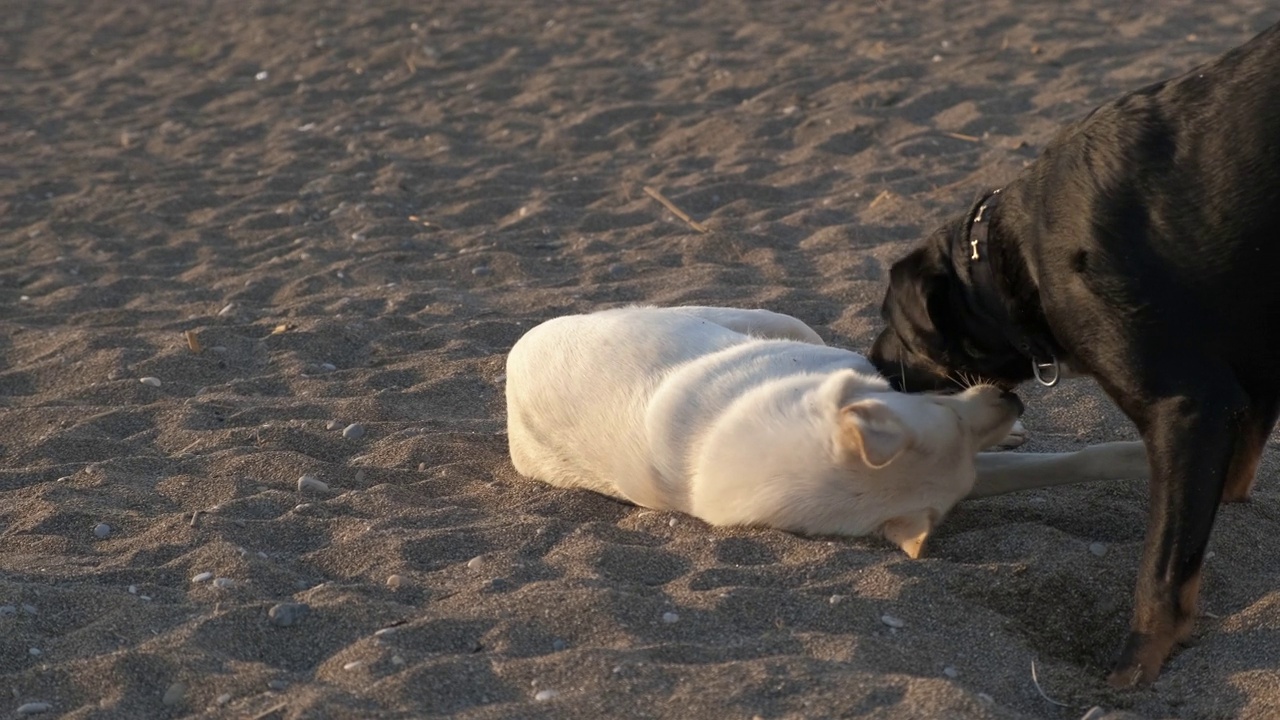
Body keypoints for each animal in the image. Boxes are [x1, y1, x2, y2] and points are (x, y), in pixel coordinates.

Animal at [865, 20, 1280, 681]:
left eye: (896, 327)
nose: (873, 361)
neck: (1018, 259)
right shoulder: (1247, 379)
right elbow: (1226, 490)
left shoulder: (1188, 406)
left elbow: (1161, 569)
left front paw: (1135, 664)